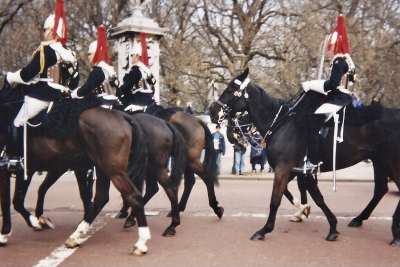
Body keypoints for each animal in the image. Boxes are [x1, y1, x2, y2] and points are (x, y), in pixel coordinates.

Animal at [0, 85, 152, 256]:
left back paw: (141, 243)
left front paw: (11, 231)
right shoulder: (30, 169)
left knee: (133, 196)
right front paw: (33, 222)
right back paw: (76, 235)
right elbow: (17, 199)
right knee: (101, 198)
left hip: (113, 170)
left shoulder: (16, 169)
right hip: (102, 168)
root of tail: (122, 116)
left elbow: (11, 201)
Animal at [209, 69, 400, 247]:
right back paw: (360, 219)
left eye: (230, 89)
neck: (281, 124)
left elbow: (276, 200)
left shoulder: (284, 169)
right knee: (381, 189)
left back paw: (395, 234)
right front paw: (319, 219)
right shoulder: (297, 170)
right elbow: (312, 195)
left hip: (391, 161)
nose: (212, 113)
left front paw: (264, 230)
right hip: (380, 161)